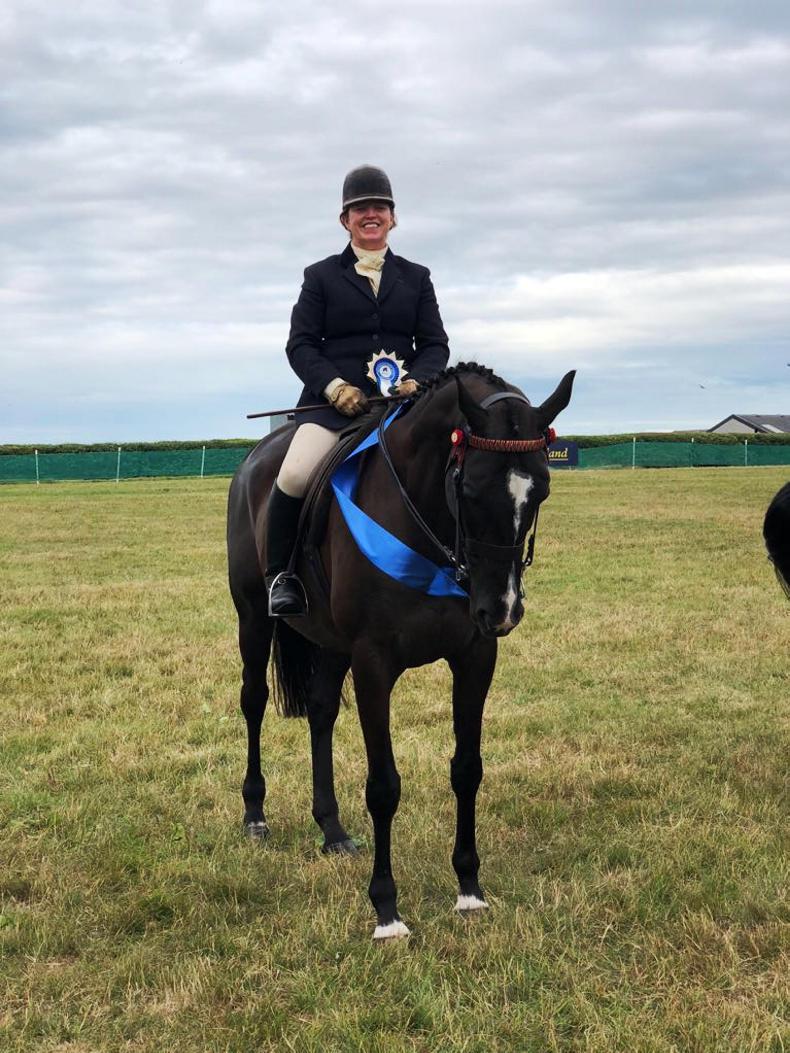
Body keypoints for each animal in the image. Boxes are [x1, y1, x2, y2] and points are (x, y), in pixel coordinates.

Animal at [226, 363, 575, 939]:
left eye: (541, 491)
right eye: (469, 487)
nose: (501, 611)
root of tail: (256, 457)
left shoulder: (475, 657)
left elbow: (467, 769)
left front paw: (469, 888)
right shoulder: (373, 664)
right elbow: (384, 787)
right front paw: (386, 910)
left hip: (330, 643)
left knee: (321, 713)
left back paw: (332, 829)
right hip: (254, 618)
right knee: (252, 702)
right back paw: (255, 814)